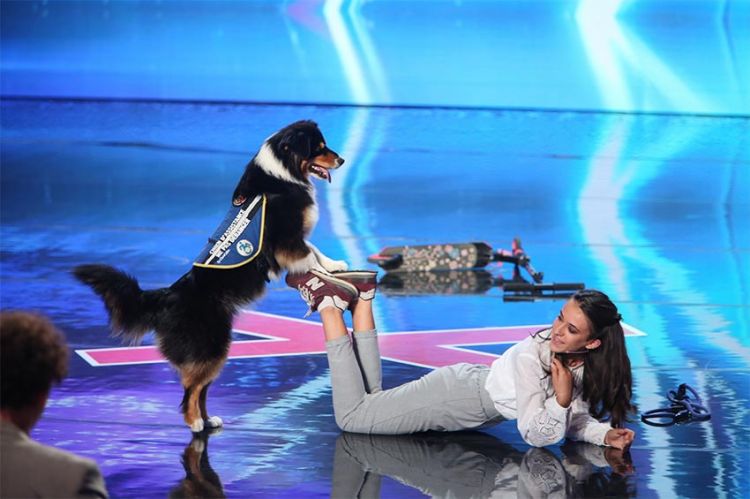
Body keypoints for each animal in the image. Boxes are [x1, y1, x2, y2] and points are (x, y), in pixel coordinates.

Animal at [73, 121, 350, 434]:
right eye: (319, 148)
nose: (342, 160)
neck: (282, 171)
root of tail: (169, 296)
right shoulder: (288, 240)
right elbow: (311, 257)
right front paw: (326, 274)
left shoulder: (292, 240)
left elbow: (316, 251)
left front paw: (335, 265)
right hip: (210, 346)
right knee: (191, 388)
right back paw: (194, 422)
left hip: (215, 349)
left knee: (201, 387)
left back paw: (207, 420)